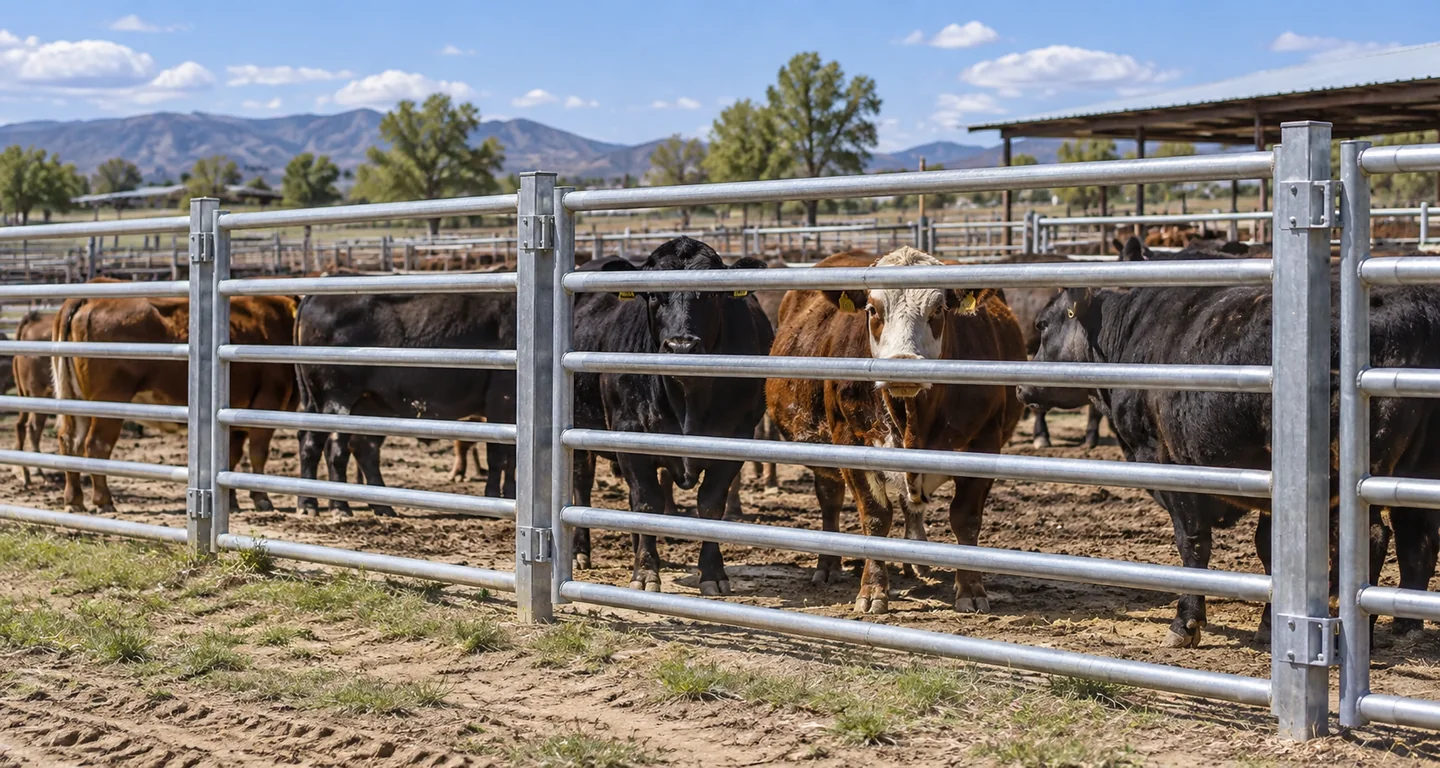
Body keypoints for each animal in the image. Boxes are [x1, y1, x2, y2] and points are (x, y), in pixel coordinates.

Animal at [52, 292, 298, 514]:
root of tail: (88, 298)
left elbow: (231, 457)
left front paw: (231, 501)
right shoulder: (266, 402)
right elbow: (258, 452)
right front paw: (262, 498)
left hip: (76, 401)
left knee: (70, 442)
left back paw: (74, 500)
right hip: (110, 400)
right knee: (96, 445)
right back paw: (104, 501)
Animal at [293, 290, 516, 517]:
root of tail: (315, 296)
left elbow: (513, 459)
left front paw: (511, 494)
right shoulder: (501, 401)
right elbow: (498, 456)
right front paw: (493, 497)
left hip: (362, 403)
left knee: (339, 446)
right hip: (336, 400)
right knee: (334, 448)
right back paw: (338, 507)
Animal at [570, 238, 772, 595]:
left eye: (712, 294)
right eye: (652, 295)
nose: (681, 346)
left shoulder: (736, 436)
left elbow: (710, 504)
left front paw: (712, 573)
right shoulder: (629, 433)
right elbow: (648, 502)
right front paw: (646, 573)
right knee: (583, 482)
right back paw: (581, 551)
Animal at [768, 246, 1027, 615]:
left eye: (938, 309)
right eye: (873, 309)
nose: (902, 364)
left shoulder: (984, 442)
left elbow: (965, 518)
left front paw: (971, 589)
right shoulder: (850, 442)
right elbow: (876, 517)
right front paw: (873, 591)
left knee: (910, 505)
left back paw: (913, 561)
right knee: (830, 499)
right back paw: (828, 566)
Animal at [1018, 247, 1440, 646]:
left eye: (1042, 325)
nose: (1022, 386)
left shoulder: (1170, 465)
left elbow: (1192, 544)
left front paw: (1185, 622)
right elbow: (1269, 549)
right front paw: (1268, 625)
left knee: (1374, 538)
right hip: (1415, 468)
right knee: (1416, 537)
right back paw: (1406, 624)